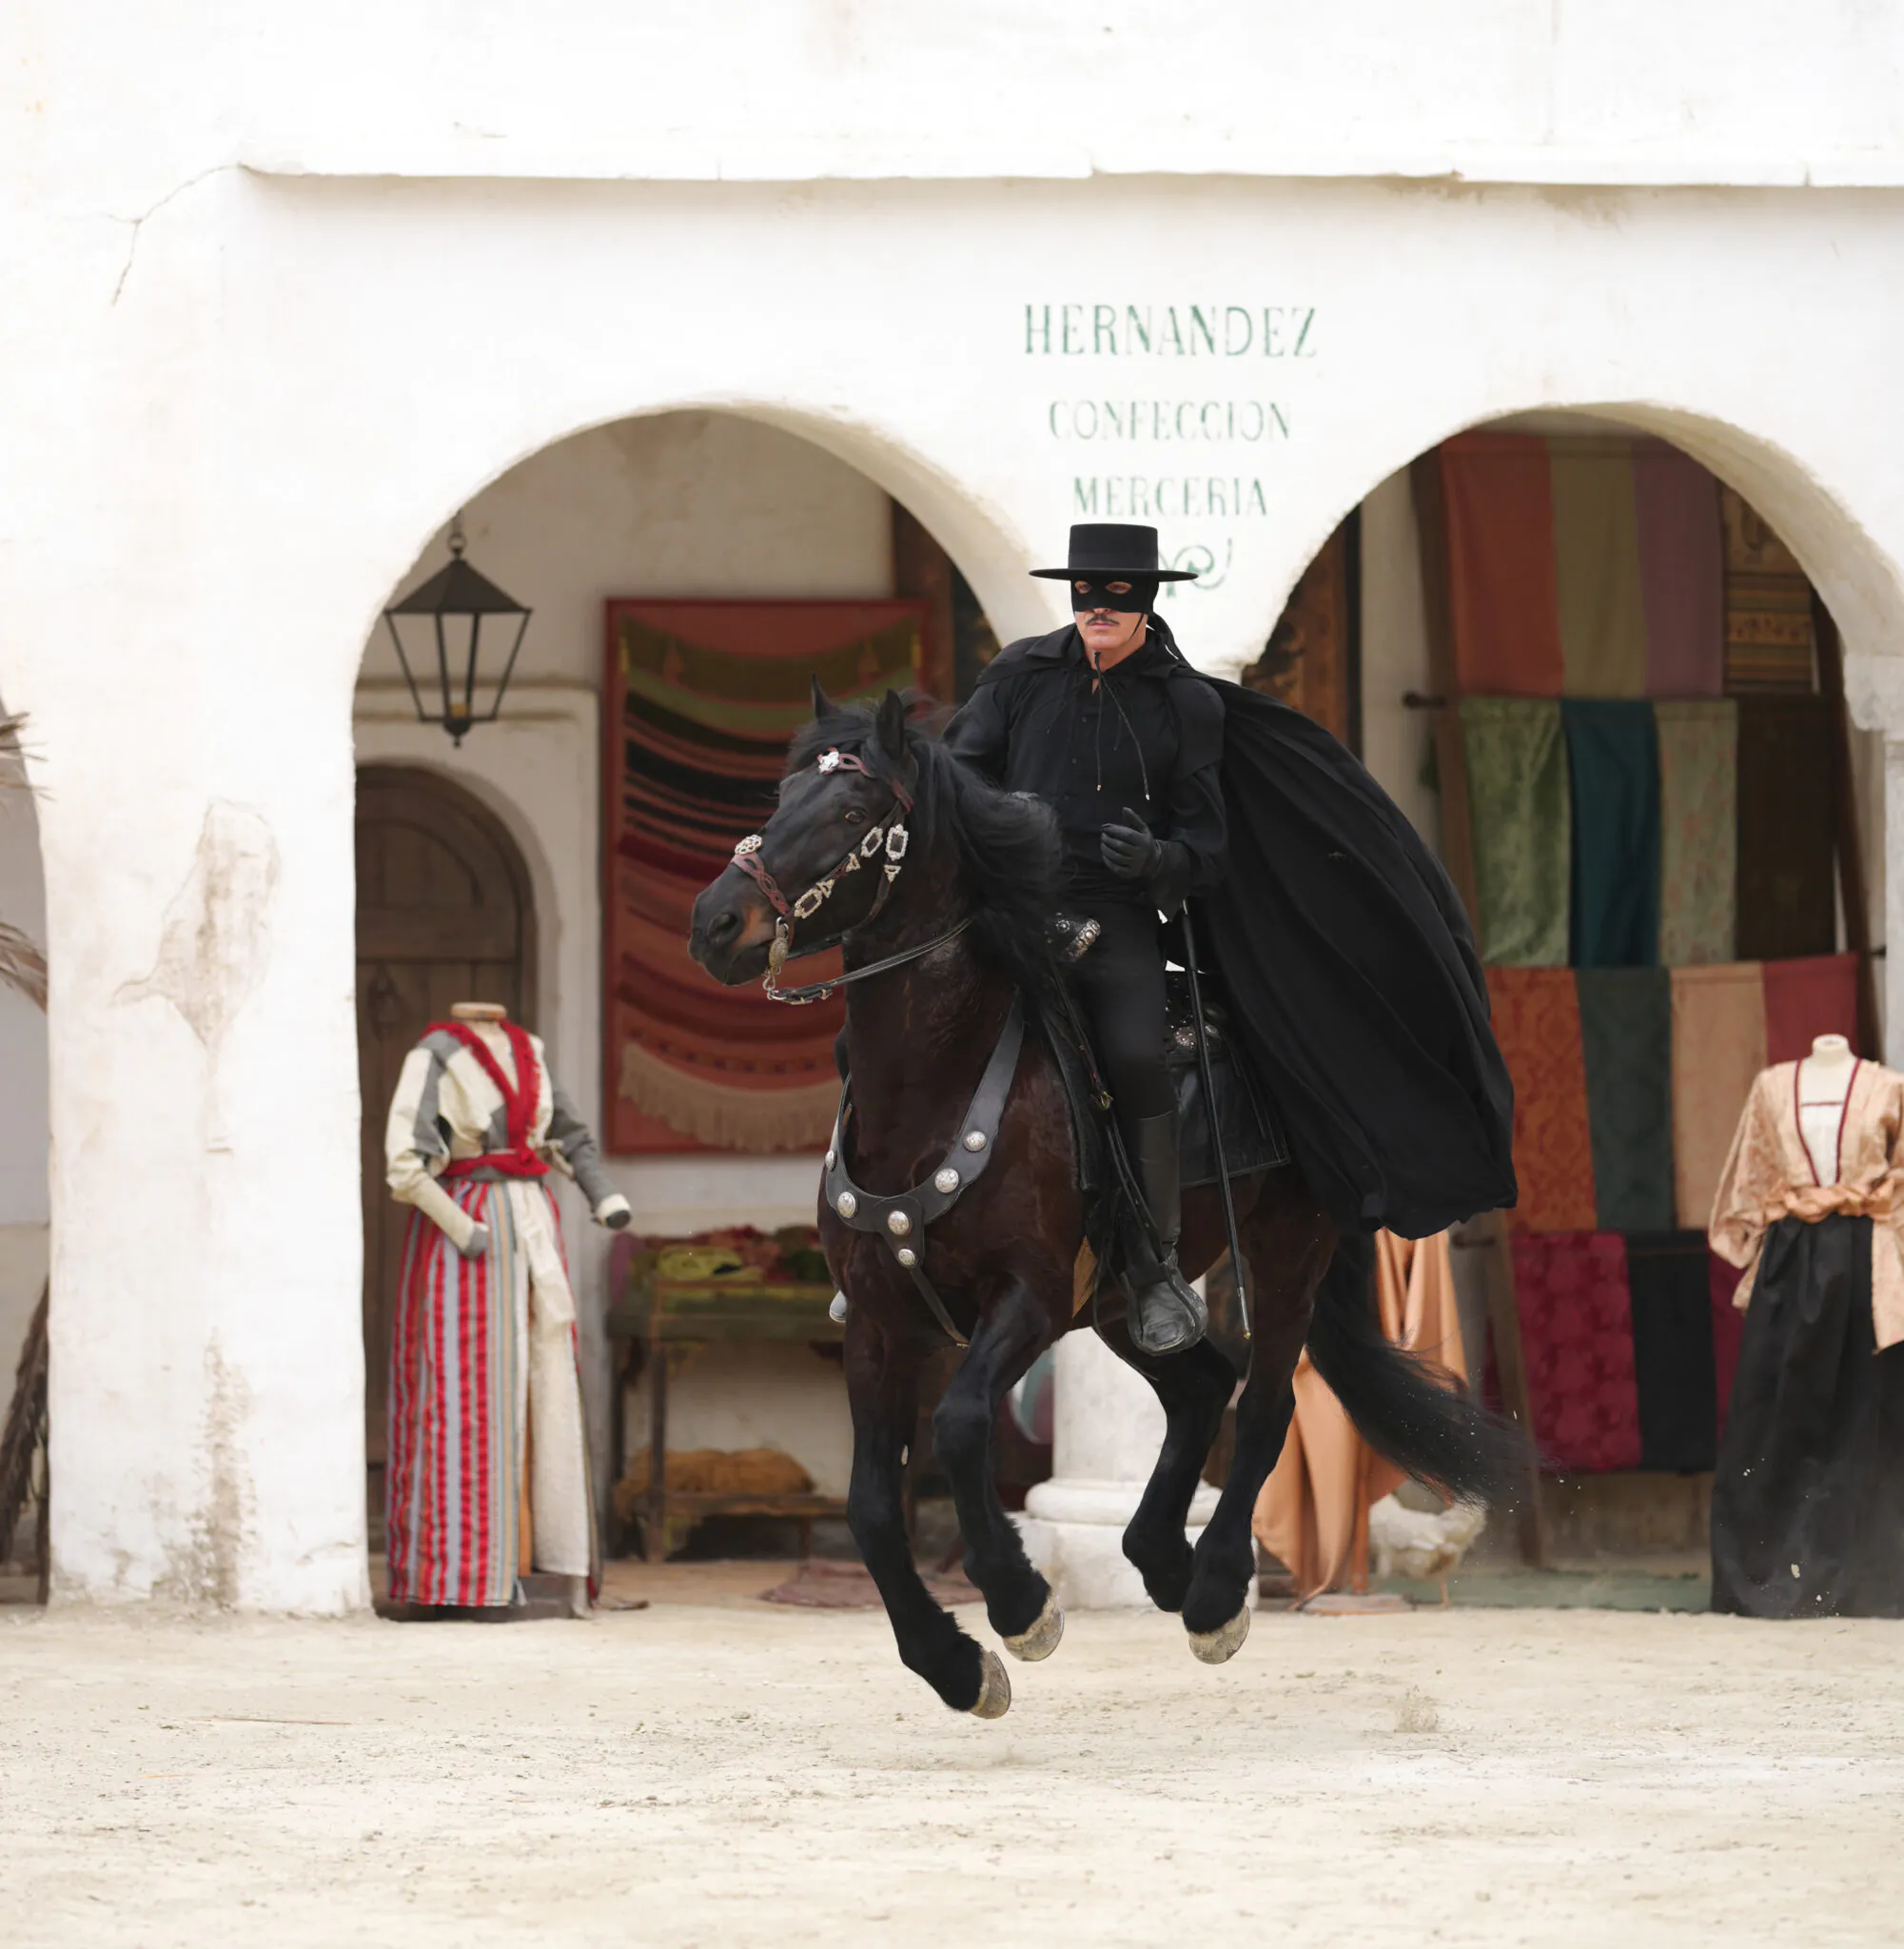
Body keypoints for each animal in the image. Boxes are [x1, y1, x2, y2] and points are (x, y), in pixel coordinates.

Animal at [690, 689, 1520, 1723]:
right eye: (782, 794)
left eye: (849, 813)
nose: (715, 922)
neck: (933, 1091)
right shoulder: (879, 1320)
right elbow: (872, 1505)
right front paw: (954, 1663)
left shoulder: (1031, 1295)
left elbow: (961, 1424)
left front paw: (1018, 1603)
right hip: (1126, 1302)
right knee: (1201, 1383)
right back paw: (1158, 1557)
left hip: (1281, 1250)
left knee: (1264, 1401)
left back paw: (1213, 1590)